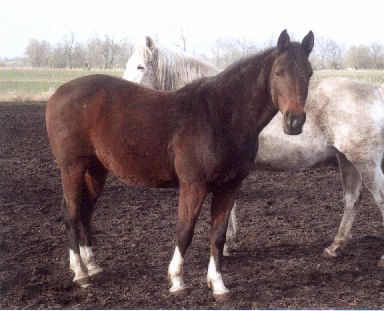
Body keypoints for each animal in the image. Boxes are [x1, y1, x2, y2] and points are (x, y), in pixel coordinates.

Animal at [45, 29, 316, 300]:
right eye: (279, 72)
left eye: (310, 72)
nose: (294, 121)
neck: (220, 116)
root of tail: (57, 94)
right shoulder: (193, 185)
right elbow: (185, 231)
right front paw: (176, 280)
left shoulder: (230, 186)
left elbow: (218, 235)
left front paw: (218, 284)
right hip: (72, 168)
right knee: (71, 212)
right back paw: (80, 273)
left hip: (95, 170)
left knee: (85, 211)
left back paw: (92, 265)